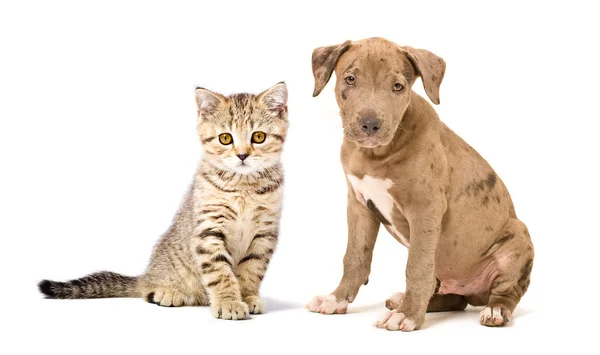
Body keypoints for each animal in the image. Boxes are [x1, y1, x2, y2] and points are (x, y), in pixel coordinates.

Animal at [38, 82, 290, 322]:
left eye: (258, 136)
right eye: (225, 138)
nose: (242, 155)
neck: (243, 187)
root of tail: (146, 275)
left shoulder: (264, 234)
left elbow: (252, 271)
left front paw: (247, 297)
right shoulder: (208, 231)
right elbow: (220, 273)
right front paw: (229, 302)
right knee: (148, 290)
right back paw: (166, 293)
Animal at [304, 37, 536, 332]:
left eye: (398, 86)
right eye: (350, 79)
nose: (370, 124)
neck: (376, 155)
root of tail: (472, 293)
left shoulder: (425, 209)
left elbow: (416, 266)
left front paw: (408, 315)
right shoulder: (358, 205)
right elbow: (355, 257)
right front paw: (336, 299)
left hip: (517, 237)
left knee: (507, 292)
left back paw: (494, 310)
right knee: (453, 299)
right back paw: (407, 300)